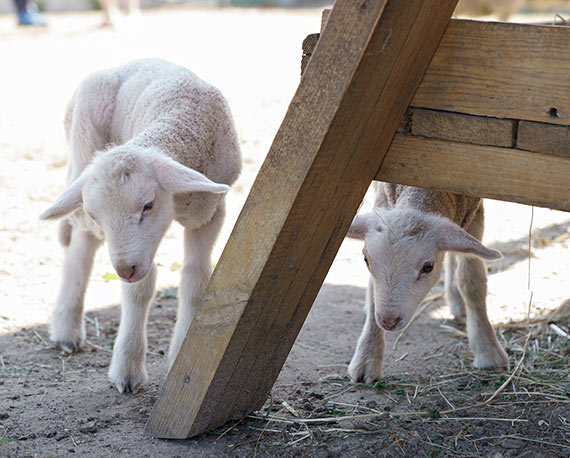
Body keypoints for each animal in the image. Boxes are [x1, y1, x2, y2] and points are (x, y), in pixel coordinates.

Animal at [39, 57, 240, 394]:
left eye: (148, 205)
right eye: (96, 214)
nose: (124, 270)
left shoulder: (211, 212)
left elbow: (195, 281)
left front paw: (183, 351)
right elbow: (139, 289)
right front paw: (128, 369)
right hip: (83, 142)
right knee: (82, 243)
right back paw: (67, 327)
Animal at [344, 182, 508, 382]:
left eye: (428, 267)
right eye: (366, 260)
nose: (388, 321)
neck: (422, 192)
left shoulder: (474, 211)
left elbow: (472, 280)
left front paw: (488, 351)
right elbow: (372, 289)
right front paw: (367, 356)